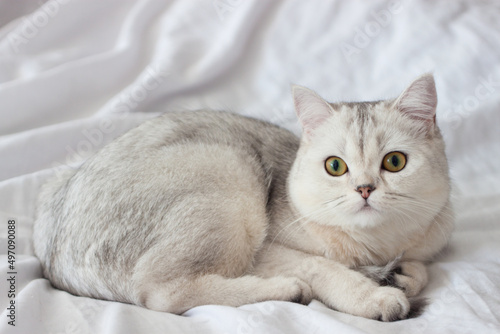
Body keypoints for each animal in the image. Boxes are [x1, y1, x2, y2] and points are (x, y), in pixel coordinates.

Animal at [31, 73, 454, 320]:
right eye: (335, 166)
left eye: (394, 162)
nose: (365, 188)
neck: (376, 247)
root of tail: (54, 257)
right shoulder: (269, 252)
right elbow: (326, 268)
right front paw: (376, 297)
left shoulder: (426, 245)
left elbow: (421, 269)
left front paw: (401, 277)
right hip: (230, 172)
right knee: (161, 295)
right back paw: (288, 291)